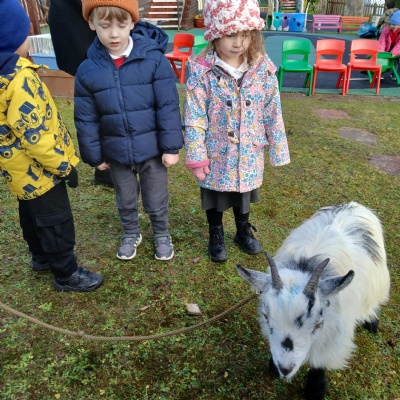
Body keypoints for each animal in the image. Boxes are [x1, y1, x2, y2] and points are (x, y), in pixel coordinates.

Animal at [237, 202, 390, 400]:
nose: (285, 369)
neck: (306, 264)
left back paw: (372, 321)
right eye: (266, 315)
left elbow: (320, 362)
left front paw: (315, 389)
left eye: (318, 321)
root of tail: (353, 204)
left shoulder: (334, 335)